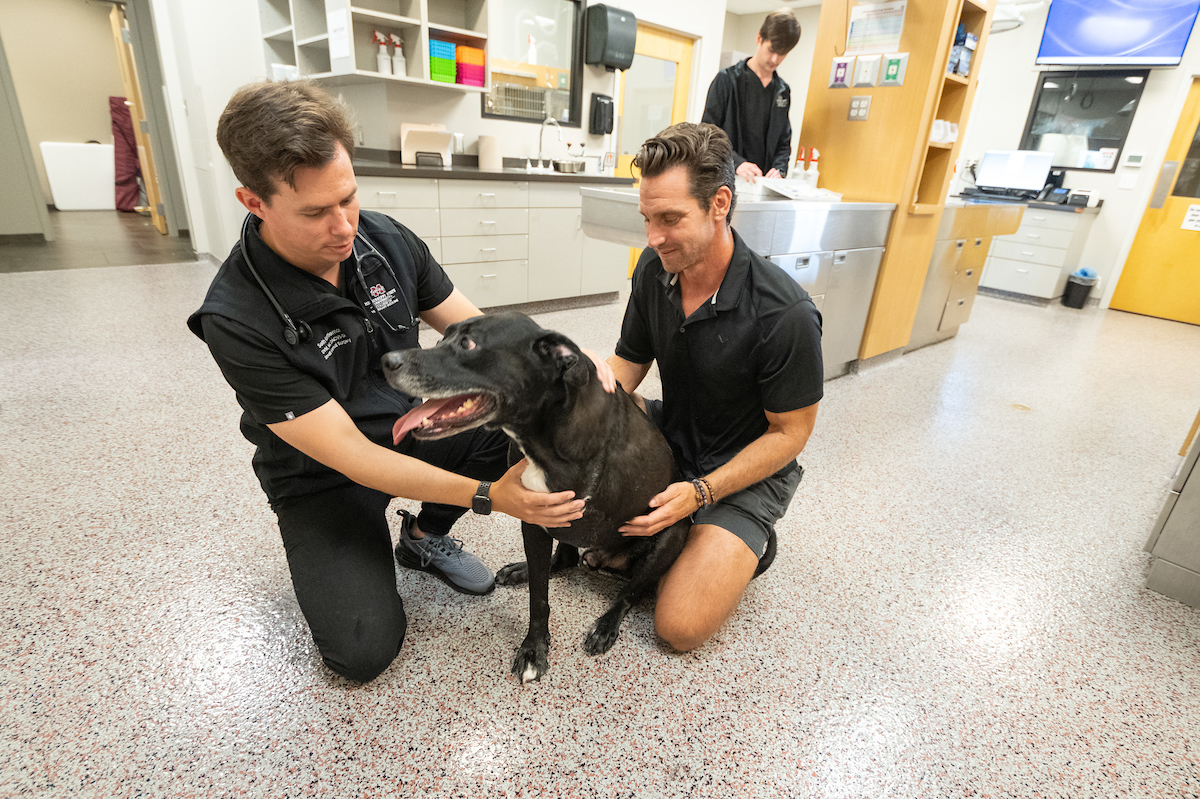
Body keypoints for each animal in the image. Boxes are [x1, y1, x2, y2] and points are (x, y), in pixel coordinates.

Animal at [379, 309, 691, 676]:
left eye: (467, 343)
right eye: (442, 337)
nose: (386, 361)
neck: (540, 435)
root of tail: (605, 558)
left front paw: (535, 648)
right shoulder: (534, 518)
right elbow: (538, 596)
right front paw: (534, 646)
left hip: (670, 537)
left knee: (630, 593)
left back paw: (605, 625)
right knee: (564, 560)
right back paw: (522, 570)